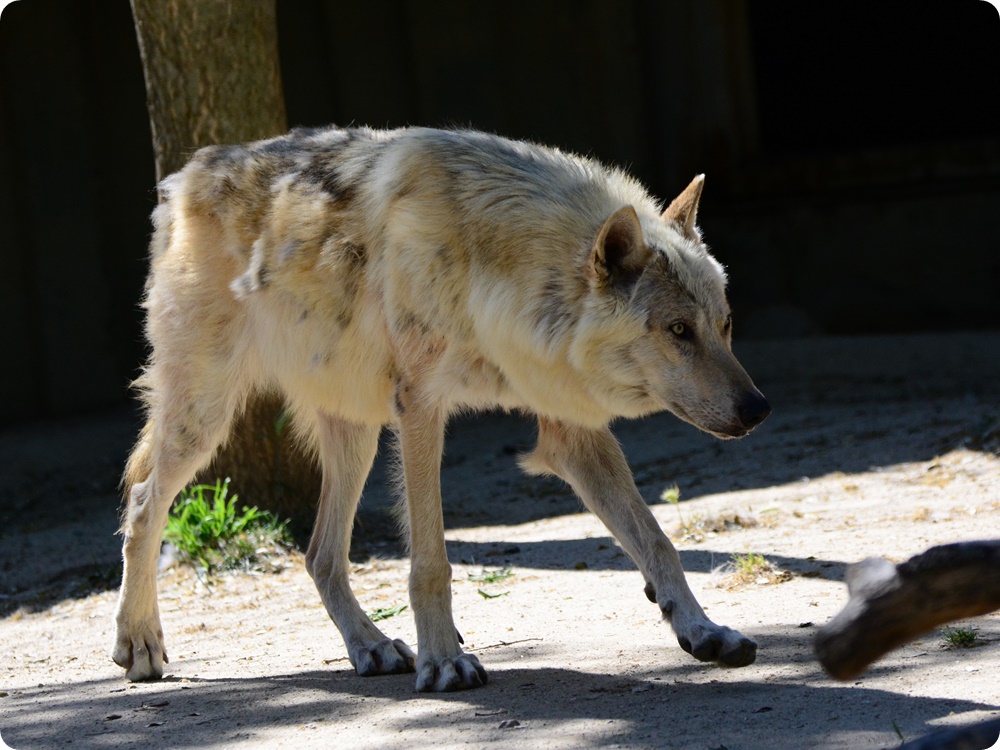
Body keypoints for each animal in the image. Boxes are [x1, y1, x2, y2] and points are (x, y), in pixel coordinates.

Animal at [113, 126, 770, 692]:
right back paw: (139, 643)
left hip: (355, 434)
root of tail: (186, 174)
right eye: (678, 331)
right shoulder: (421, 410)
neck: (498, 266)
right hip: (207, 418)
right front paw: (446, 664)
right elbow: (431, 561)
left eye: (724, 324)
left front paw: (704, 631)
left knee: (321, 554)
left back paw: (372, 647)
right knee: (144, 502)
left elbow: (658, 541)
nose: (759, 409)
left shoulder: (570, 428)